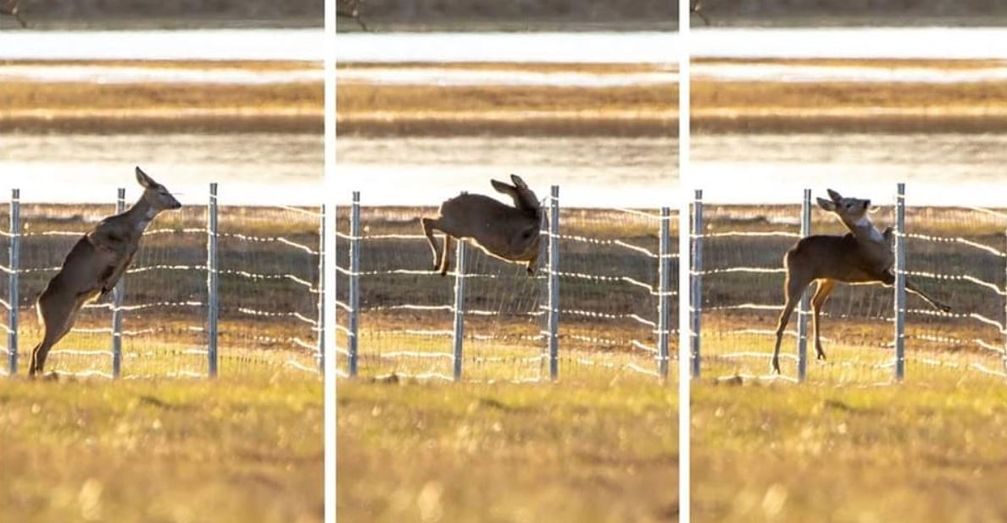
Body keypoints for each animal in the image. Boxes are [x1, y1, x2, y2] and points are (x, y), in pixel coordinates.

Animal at [27, 168, 181, 376]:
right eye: (162, 192)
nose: (178, 204)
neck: (130, 228)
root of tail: (39, 301)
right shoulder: (97, 237)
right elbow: (121, 251)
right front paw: (106, 284)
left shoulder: (130, 249)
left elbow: (129, 257)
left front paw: (106, 286)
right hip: (57, 316)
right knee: (41, 350)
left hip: (67, 322)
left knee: (38, 348)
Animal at [769, 190, 950, 374]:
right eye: (848, 204)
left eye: (854, 197)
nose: (866, 202)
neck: (872, 242)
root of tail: (788, 254)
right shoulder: (879, 273)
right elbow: (908, 283)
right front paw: (943, 306)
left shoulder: (887, 269)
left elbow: (907, 277)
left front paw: (943, 306)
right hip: (797, 276)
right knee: (784, 317)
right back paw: (776, 364)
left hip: (828, 278)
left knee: (816, 301)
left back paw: (819, 351)